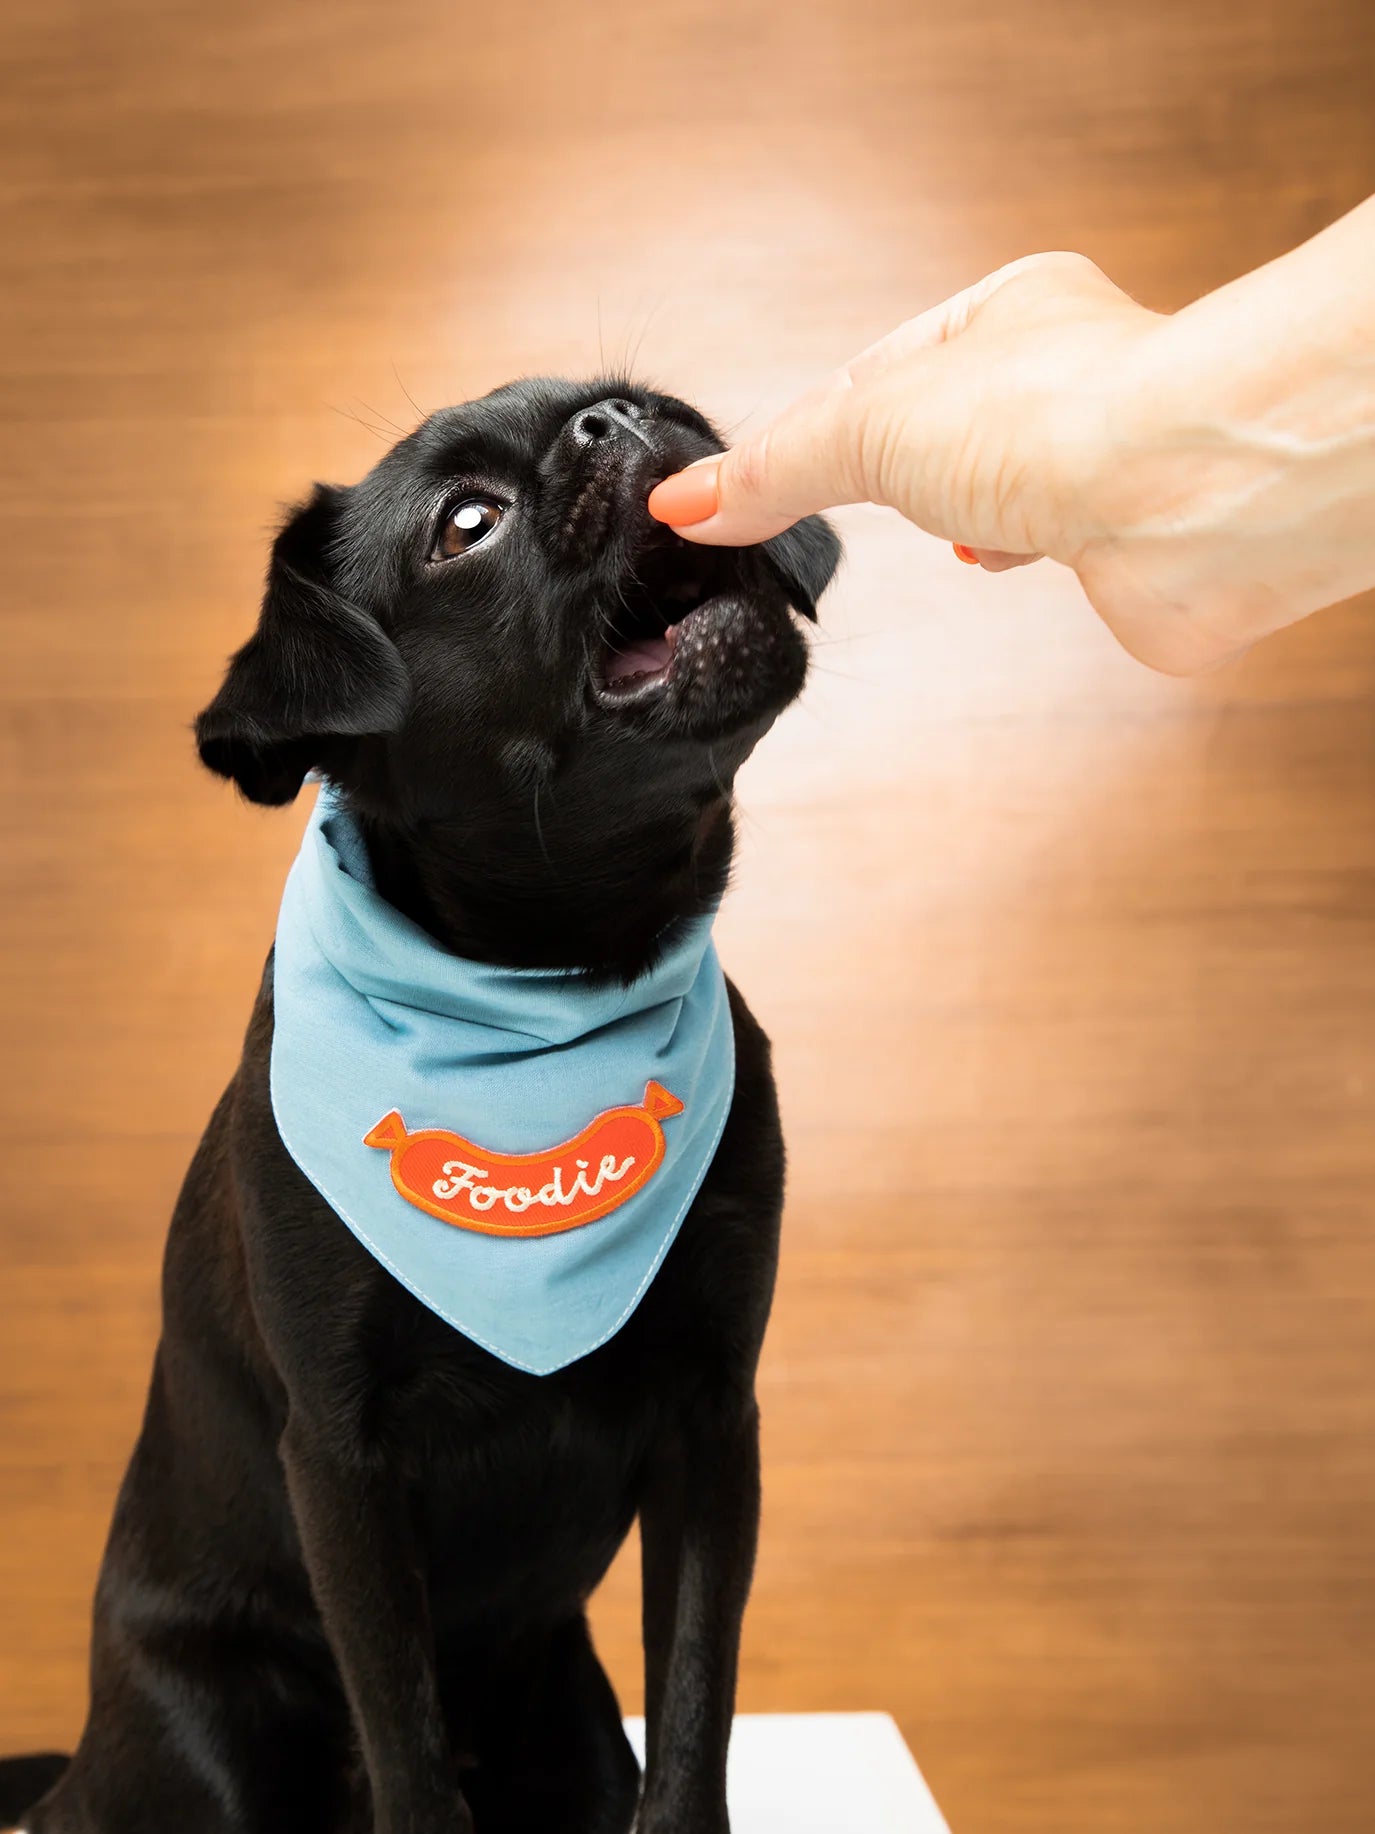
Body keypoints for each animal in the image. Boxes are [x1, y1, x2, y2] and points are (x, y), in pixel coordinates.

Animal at [2, 379, 839, 1826]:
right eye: (464, 525)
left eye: (658, 405)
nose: (618, 420)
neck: (545, 987)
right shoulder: (344, 1463)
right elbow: (404, 1739)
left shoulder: (710, 1424)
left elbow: (693, 1713)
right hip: (206, 1737)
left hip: (567, 1716)